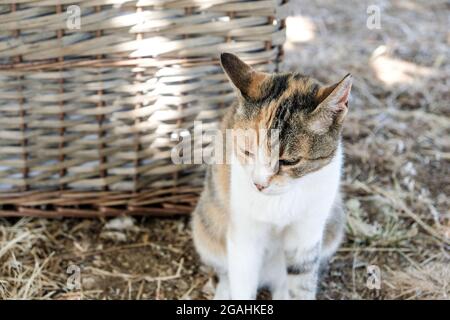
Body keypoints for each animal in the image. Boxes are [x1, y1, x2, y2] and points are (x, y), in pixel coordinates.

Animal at [191, 52, 352, 300]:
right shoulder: (244, 238)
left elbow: (302, 284)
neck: (280, 201)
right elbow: (242, 284)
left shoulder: (306, 237)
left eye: (289, 161)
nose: (259, 184)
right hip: (206, 225)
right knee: (226, 271)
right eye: (246, 151)